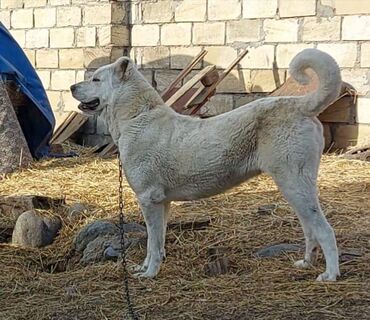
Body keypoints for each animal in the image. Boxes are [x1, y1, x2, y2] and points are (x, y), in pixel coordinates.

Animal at [71, 48, 342, 282]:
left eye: (96, 79)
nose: (72, 86)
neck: (138, 116)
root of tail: (301, 105)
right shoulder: (162, 203)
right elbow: (156, 242)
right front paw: (146, 267)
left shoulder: (149, 200)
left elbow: (153, 243)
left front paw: (149, 274)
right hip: (294, 189)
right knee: (310, 229)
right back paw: (306, 263)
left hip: (295, 184)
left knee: (324, 230)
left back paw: (330, 275)